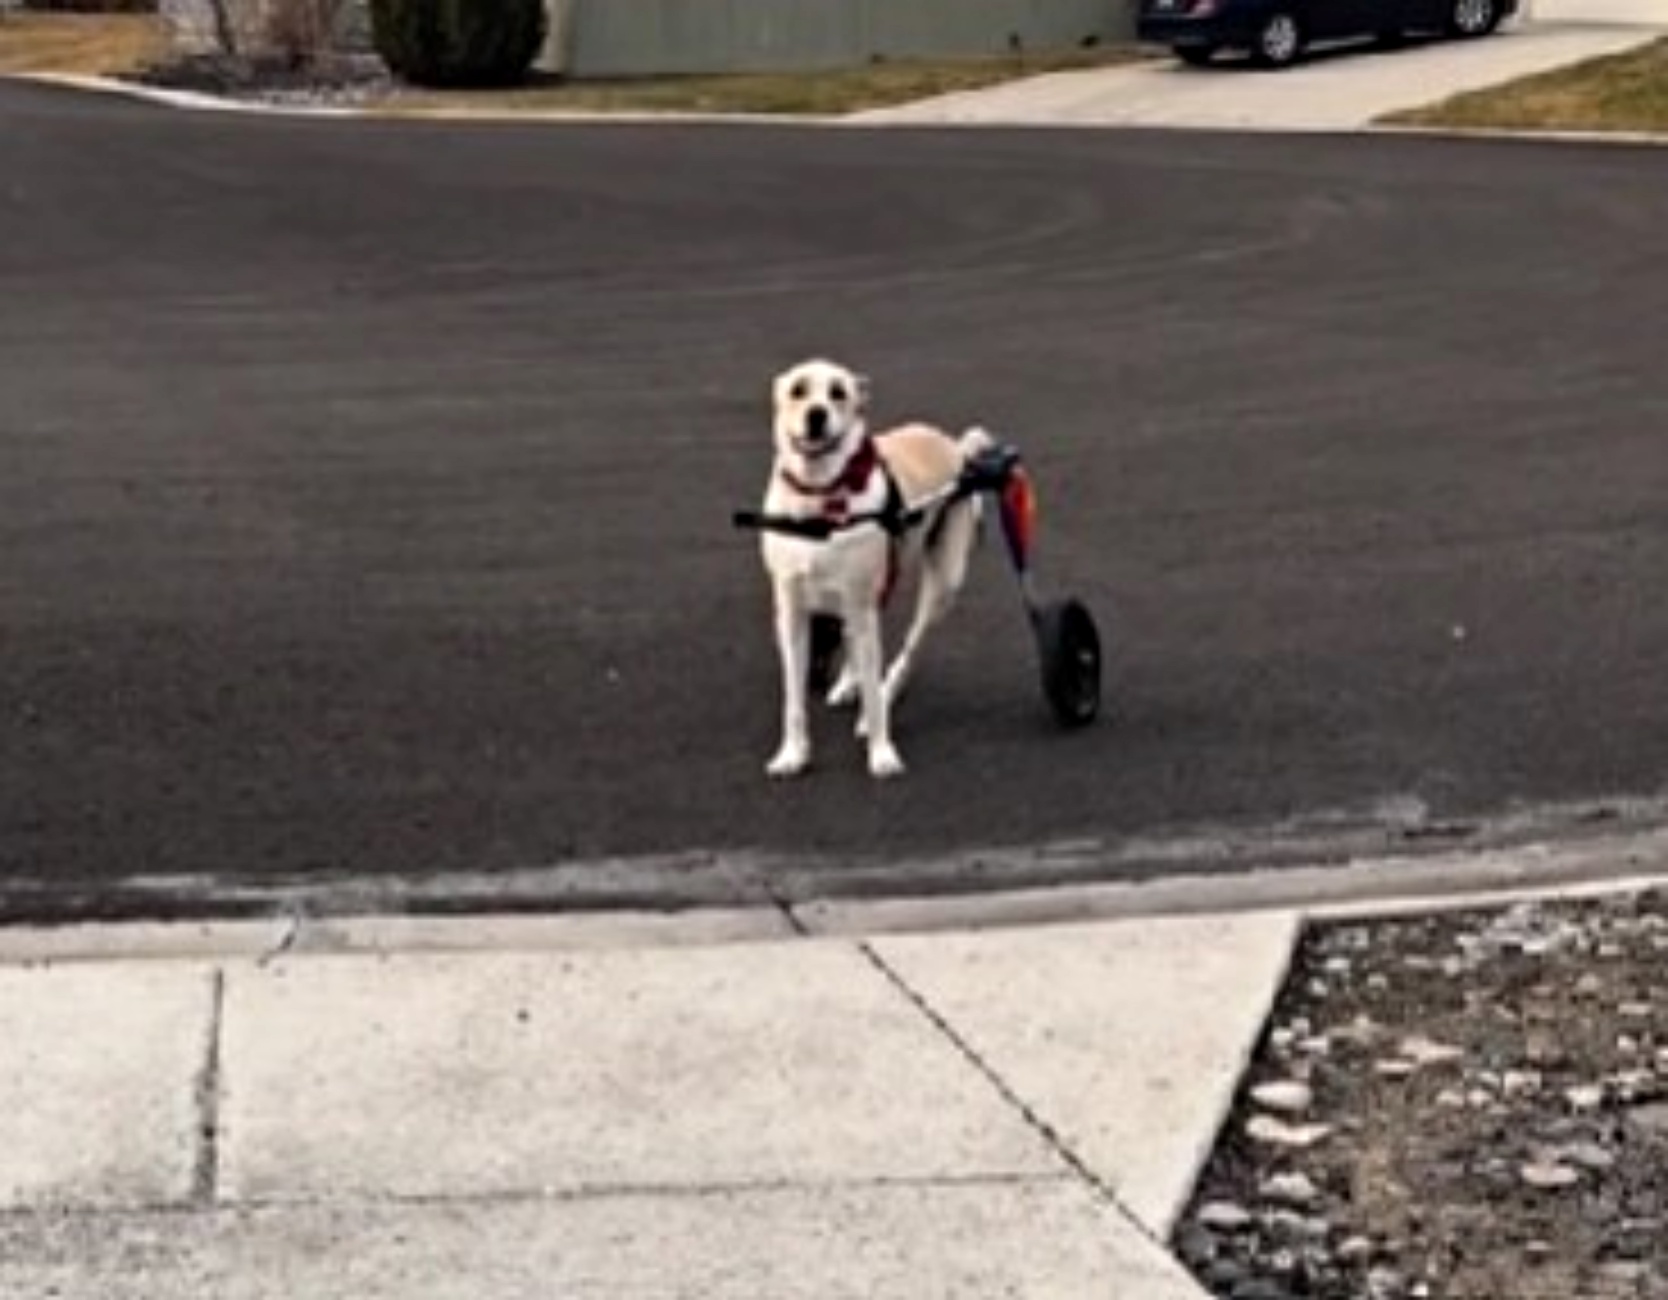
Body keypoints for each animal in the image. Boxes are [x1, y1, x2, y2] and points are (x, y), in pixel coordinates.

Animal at [757, 358, 987, 784]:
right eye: (797, 390)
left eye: (838, 393)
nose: (817, 415)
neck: (821, 498)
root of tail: (954, 446)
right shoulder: (792, 615)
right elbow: (793, 700)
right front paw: (792, 754)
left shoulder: (863, 606)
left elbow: (875, 694)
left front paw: (881, 752)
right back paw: (849, 684)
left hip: (941, 587)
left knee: (907, 652)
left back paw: (880, 693)